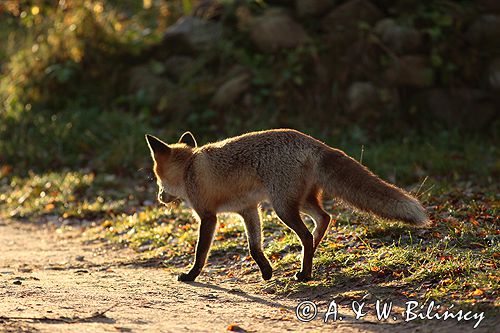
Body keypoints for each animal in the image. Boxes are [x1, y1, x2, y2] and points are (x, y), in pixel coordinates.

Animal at [146, 128, 430, 282]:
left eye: (157, 178)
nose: (159, 197)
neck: (189, 167)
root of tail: (314, 142)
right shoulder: (249, 210)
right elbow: (254, 247)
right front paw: (266, 271)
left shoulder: (208, 216)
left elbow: (200, 253)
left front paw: (191, 275)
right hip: (298, 201)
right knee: (324, 218)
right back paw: (310, 255)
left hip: (283, 207)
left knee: (307, 233)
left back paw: (305, 273)